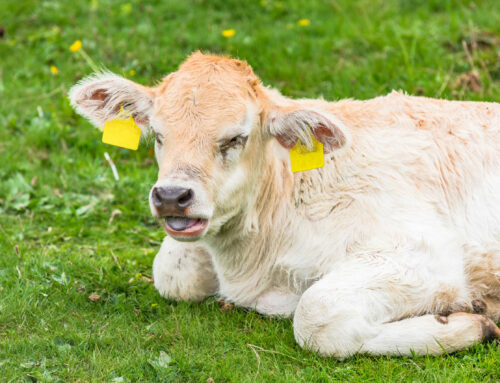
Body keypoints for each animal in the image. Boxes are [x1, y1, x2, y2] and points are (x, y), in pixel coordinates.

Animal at [69, 52, 500, 358]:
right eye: (158, 135)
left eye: (235, 138)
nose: (172, 196)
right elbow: (172, 273)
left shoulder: (422, 252)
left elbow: (316, 316)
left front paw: (470, 324)